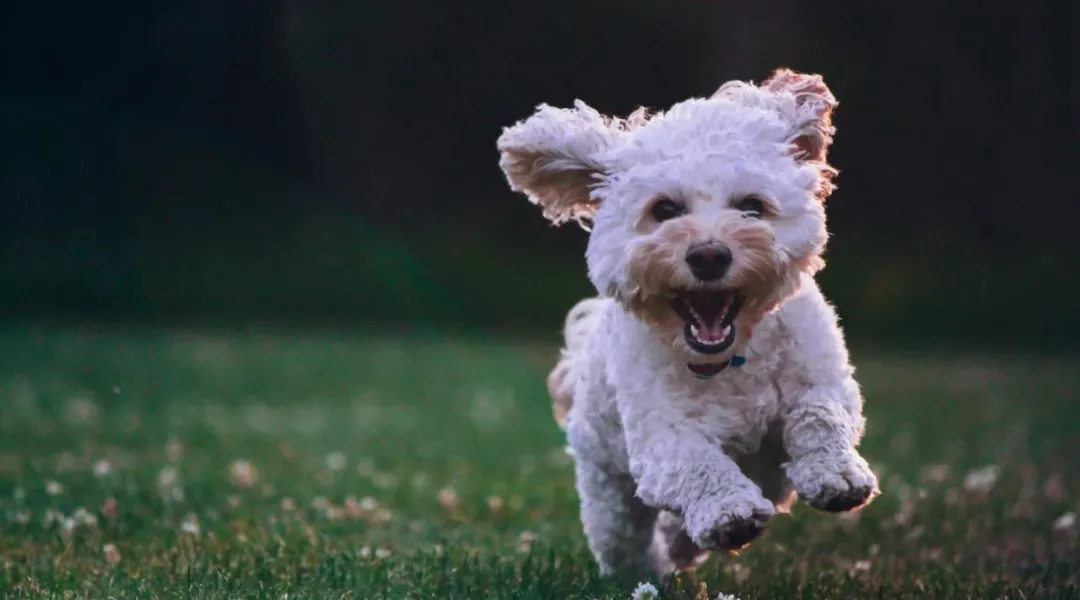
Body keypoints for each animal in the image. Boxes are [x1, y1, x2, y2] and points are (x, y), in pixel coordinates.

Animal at [494, 67, 876, 574]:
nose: (709, 255)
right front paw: (728, 511)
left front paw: (836, 474)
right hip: (607, 486)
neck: (732, 360)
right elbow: (697, 464)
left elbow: (820, 414)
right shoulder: (661, 438)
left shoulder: (824, 378)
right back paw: (651, 567)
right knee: (624, 537)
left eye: (752, 206)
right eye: (664, 210)